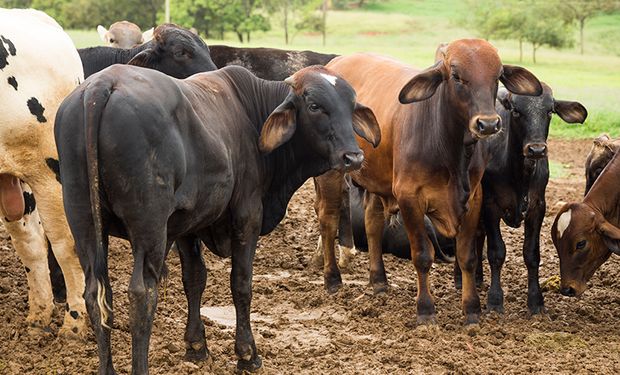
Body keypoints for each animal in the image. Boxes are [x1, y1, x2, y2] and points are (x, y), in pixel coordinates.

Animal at [54, 64, 382, 374]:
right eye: (314, 106)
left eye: (351, 105)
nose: (353, 157)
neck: (252, 114)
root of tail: (102, 85)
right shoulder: (247, 216)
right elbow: (241, 284)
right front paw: (247, 355)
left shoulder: (187, 225)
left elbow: (195, 279)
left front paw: (196, 347)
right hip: (149, 228)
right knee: (141, 293)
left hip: (84, 222)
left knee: (96, 293)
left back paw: (107, 368)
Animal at [318, 39, 540, 326]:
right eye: (456, 75)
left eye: (497, 75)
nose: (488, 124)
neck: (448, 147)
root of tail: (336, 63)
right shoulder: (409, 197)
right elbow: (423, 256)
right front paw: (425, 310)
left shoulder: (473, 199)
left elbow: (467, 257)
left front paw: (472, 310)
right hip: (331, 172)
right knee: (328, 219)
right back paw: (332, 279)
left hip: (378, 180)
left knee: (372, 222)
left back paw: (379, 281)